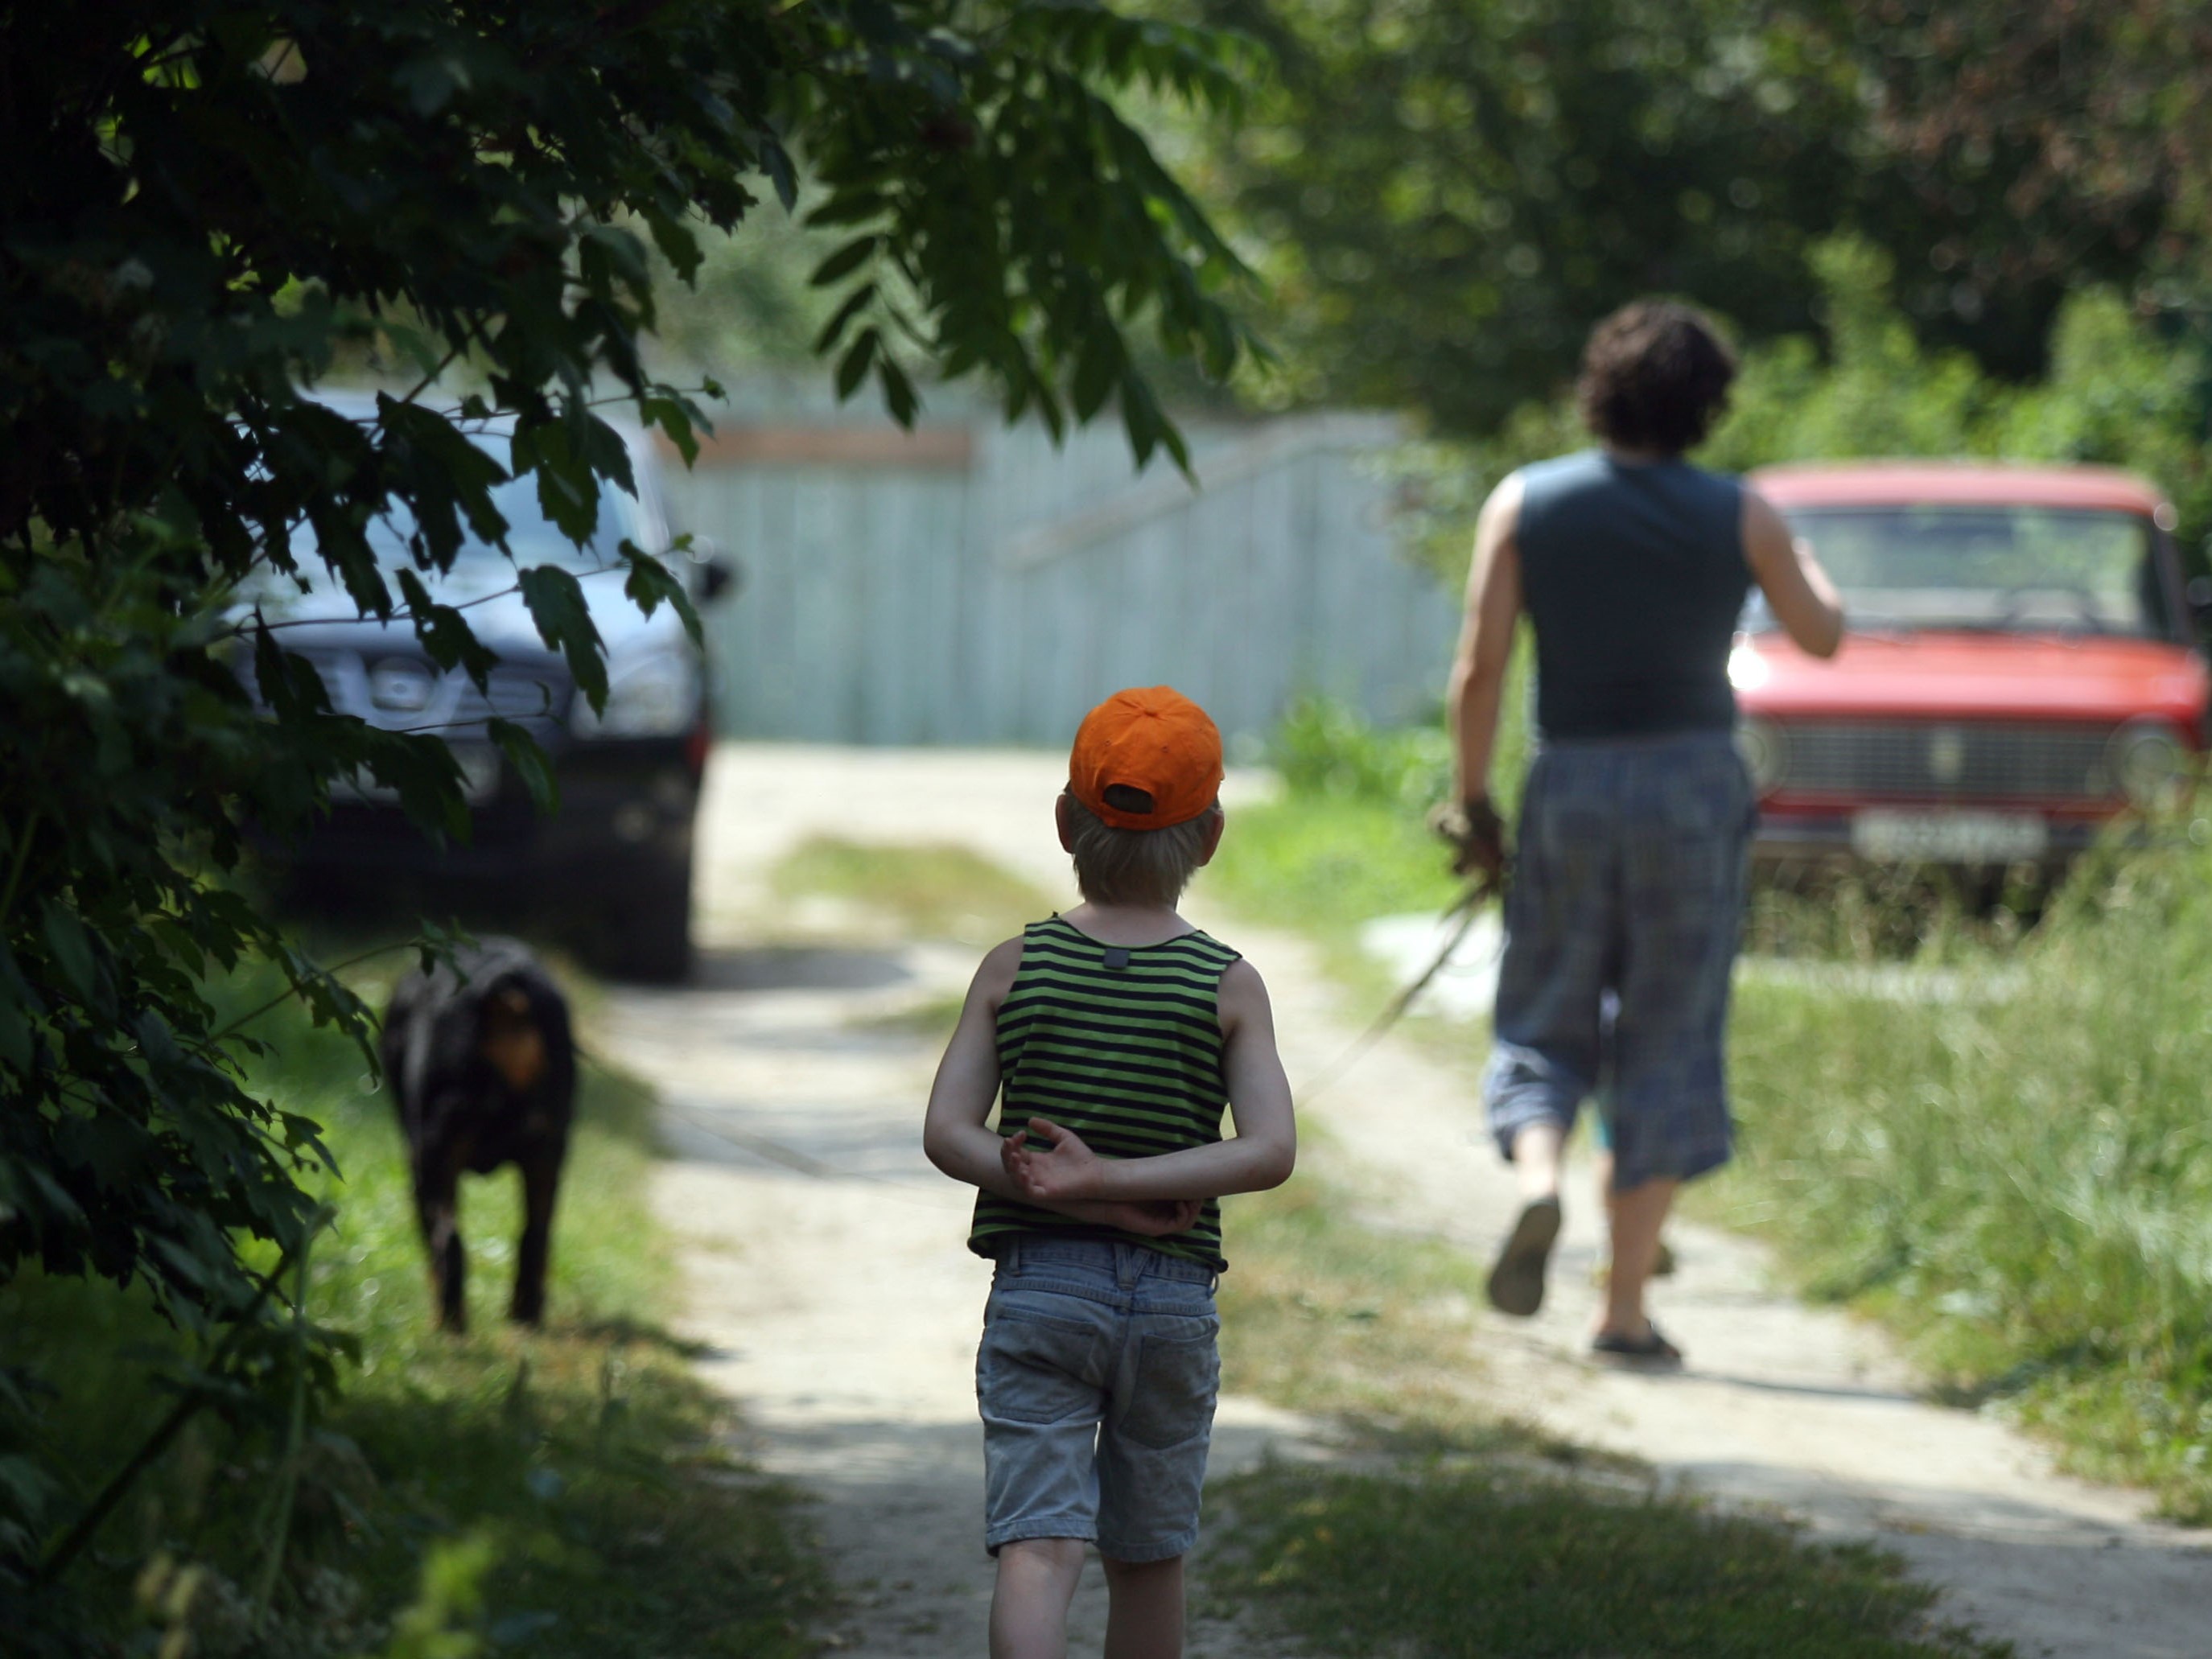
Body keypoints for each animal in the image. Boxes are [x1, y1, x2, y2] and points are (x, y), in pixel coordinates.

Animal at [387, 942, 579, 1336]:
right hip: (547, 1152)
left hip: (434, 1153)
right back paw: (525, 1316)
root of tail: (503, 992)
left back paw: (449, 1325)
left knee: (447, 1239)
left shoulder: (419, 1164)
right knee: (535, 1235)